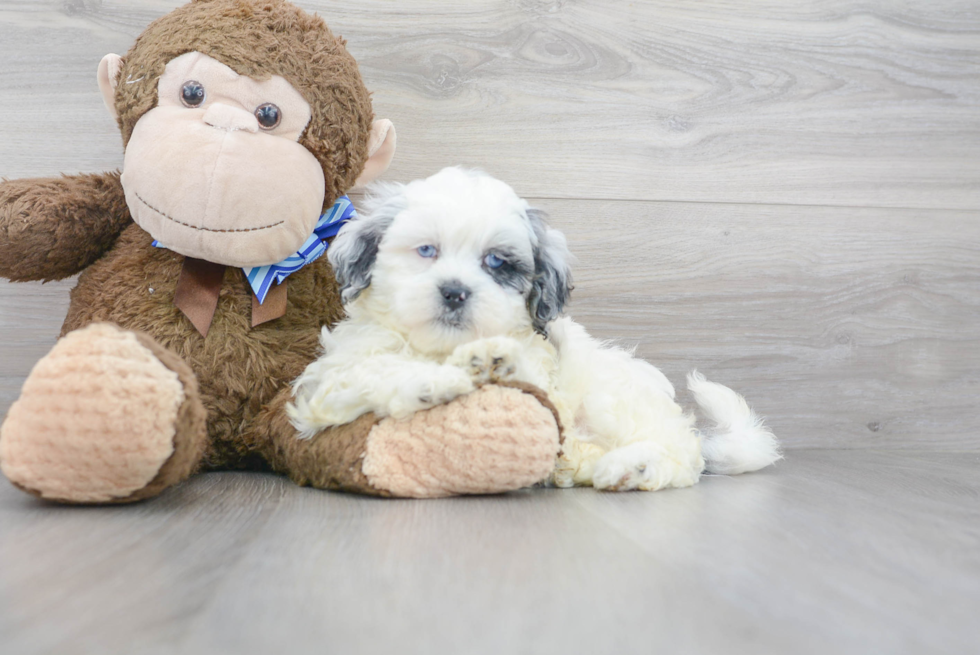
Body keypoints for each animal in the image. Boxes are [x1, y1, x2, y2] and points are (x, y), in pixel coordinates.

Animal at [286, 167, 780, 490]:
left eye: (496, 262)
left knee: (681, 454)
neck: (440, 347)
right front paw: (435, 380)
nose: (454, 291)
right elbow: (372, 372)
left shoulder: (546, 375)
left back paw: (634, 467)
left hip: (613, 400)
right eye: (426, 250)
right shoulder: (326, 384)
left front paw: (493, 359)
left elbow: (528, 374)